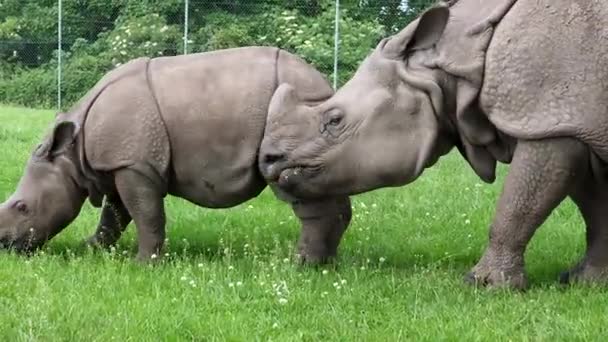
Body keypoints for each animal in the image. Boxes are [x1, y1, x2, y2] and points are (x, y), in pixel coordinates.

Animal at [0, 46, 352, 264]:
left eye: (22, 207)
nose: (6, 246)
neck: (73, 156)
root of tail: (325, 84)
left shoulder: (135, 165)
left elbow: (146, 213)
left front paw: (144, 264)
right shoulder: (120, 163)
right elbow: (114, 216)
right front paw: (90, 248)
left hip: (298, 114)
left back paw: (301, 264)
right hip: (314, 117)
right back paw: (328, 264)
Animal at [258, 0, 608, 288]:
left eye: (334, 120)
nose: (267, 160)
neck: (451, 69)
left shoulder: (550, 121)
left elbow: (520, 204)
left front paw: (484, 285)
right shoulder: (573, 123)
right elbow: (595, 209)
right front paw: (586, 282)